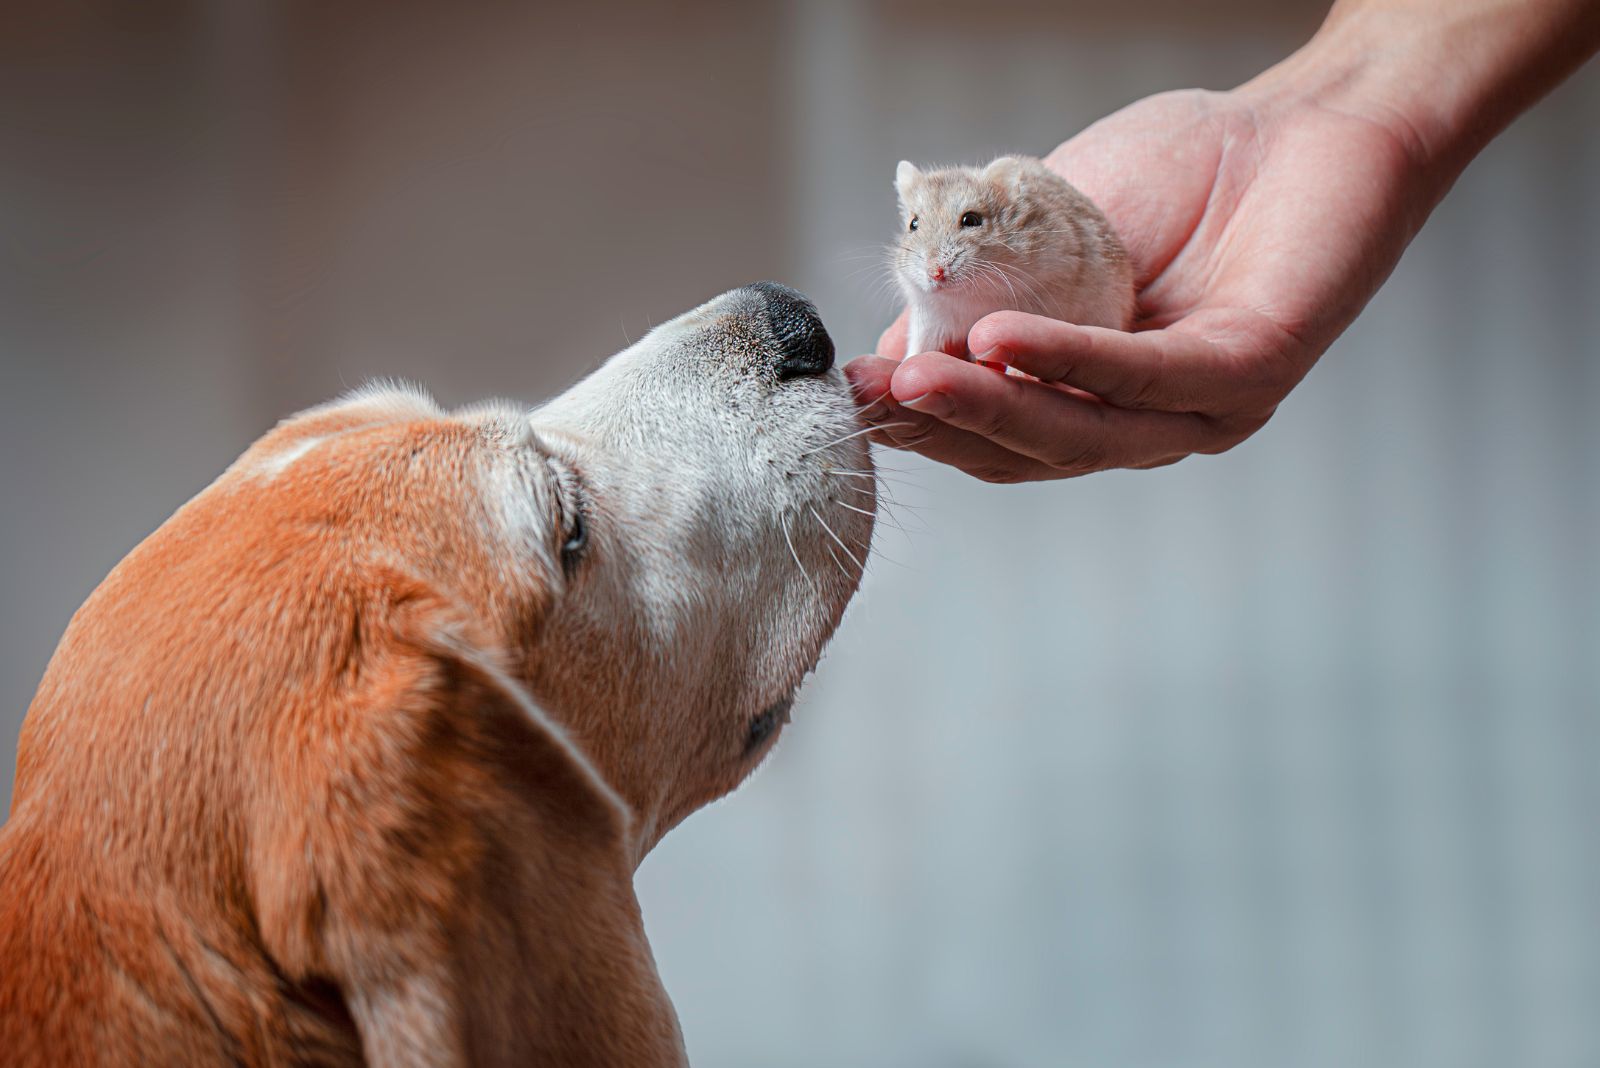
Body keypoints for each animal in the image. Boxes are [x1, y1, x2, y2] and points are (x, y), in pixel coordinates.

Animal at [889, 156, 1139, 358]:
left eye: (971, 220)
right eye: (913, 224)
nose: (935, 273)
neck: (966, 295)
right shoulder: (930, 319)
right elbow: (920, 345)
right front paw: (906, 364)